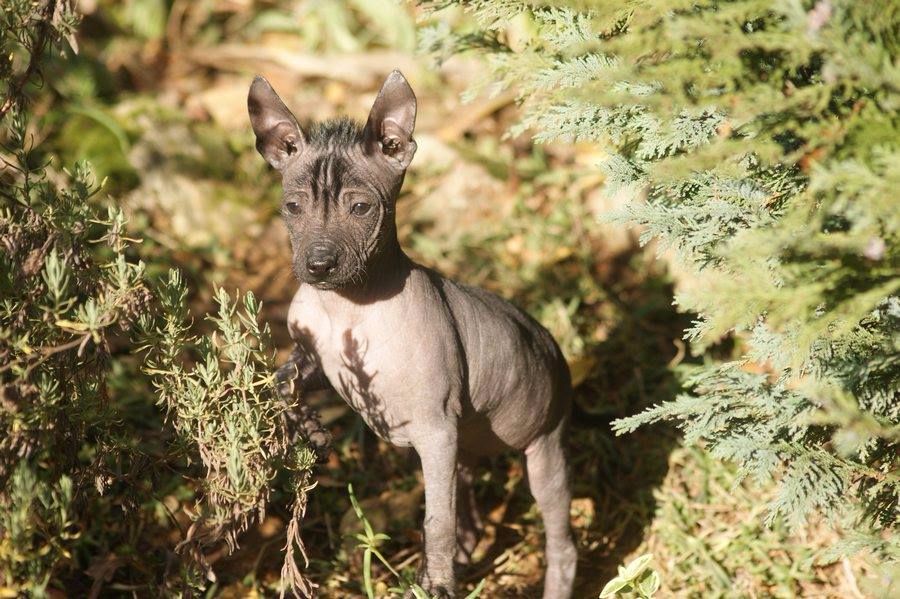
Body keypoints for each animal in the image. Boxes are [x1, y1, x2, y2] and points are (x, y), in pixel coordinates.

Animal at [246, 71, 576, 599]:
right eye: (292, 208)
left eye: (361, 208)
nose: (317, 265)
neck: (347, 305)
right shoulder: (315, 358)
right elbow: (280, 382)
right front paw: (311, 429)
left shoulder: (435, 432)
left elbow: (435, 522)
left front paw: (435, 583)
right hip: (468, 444)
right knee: (469, 510)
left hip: (543, 447)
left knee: (559, 540)